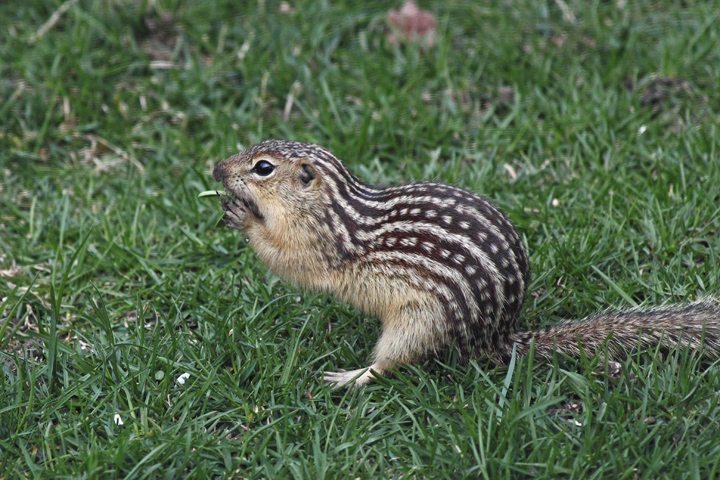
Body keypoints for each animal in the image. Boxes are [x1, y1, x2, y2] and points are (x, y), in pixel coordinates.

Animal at [212, 139, 720, 388]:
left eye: (262, 167)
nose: (216, 168)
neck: (331, 205)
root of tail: (499, 335)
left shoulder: (318, 244)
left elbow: (288, 261)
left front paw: (243, 217)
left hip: (419, 322)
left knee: (391, 363)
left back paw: (350, 377)